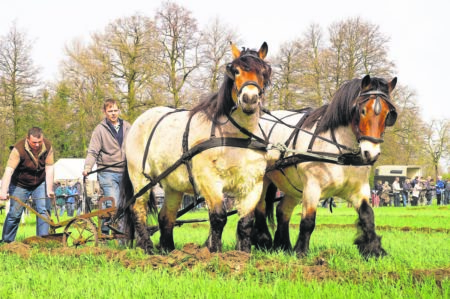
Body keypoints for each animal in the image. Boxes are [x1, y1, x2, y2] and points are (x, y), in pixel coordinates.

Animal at [119, 41, 272, 253]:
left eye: (264, 71)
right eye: (235, 70)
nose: (249, 98)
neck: (236, 137)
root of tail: (139, 121)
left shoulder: (253, 183)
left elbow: (246, 222)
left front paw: (243, 254)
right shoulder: (208, 179)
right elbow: (218, 217)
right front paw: (214, 252)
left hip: (172, 185)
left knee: (166, 216)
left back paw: (168, 250)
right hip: (141, 179)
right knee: (138, 210)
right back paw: (147, 248)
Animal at [253, 74, 398, 258]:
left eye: (388, 115)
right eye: (362, 111)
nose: (370, 154)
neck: (341, 155)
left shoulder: (359, 189)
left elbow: (367, 216)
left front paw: (374, 251)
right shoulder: (312, 187)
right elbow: (308, 221)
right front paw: (301, 252)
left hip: (293, 187)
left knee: (282, 210)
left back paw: (283, 246)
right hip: (262, 179)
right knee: (259, 208)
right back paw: (262, 241)